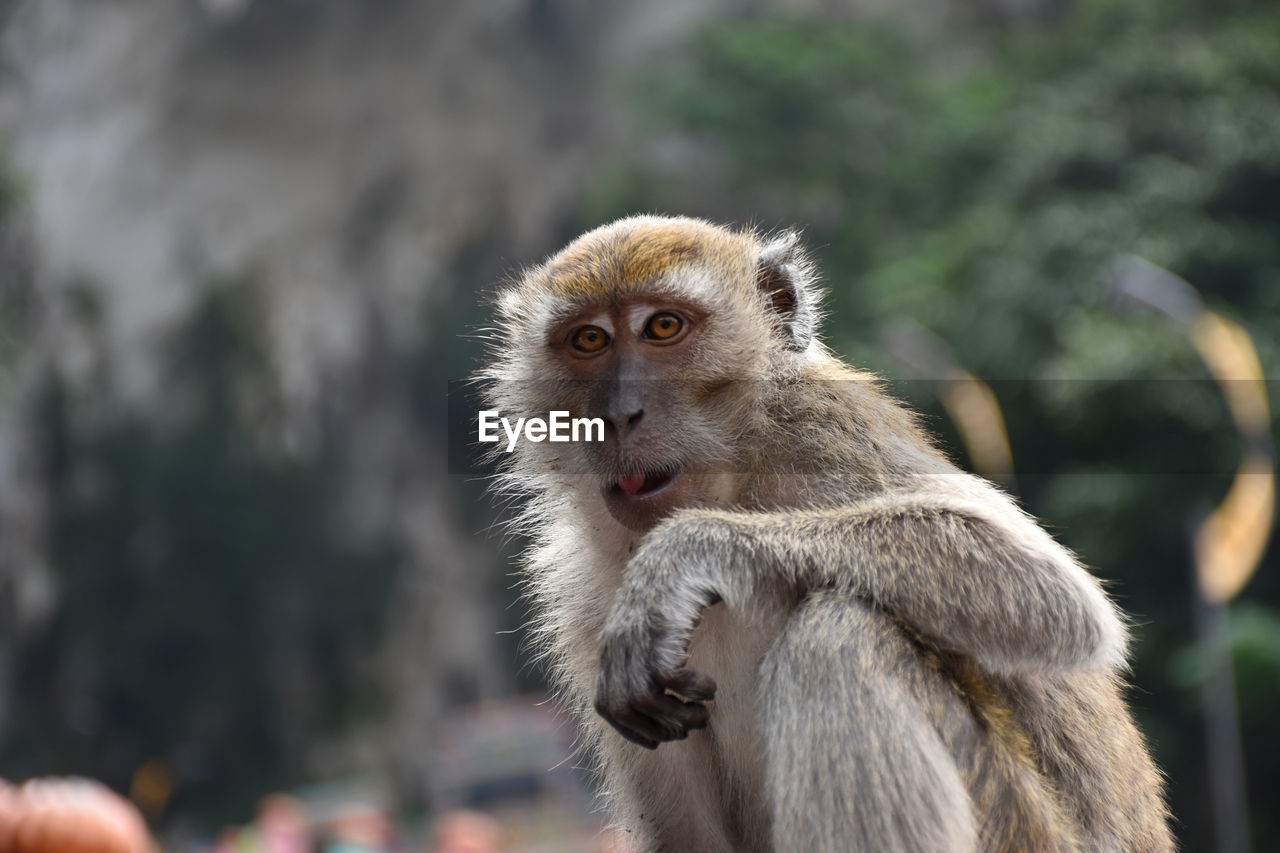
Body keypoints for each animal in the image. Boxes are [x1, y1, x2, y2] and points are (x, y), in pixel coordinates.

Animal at [481, 216, 1172, 845]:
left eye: (664, 327)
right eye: (588, 339)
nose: (619, 415)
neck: (739, 473)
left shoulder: (826, 429)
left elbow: (1052, 597)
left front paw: (685, 553)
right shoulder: (582, 596)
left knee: (839, 634)